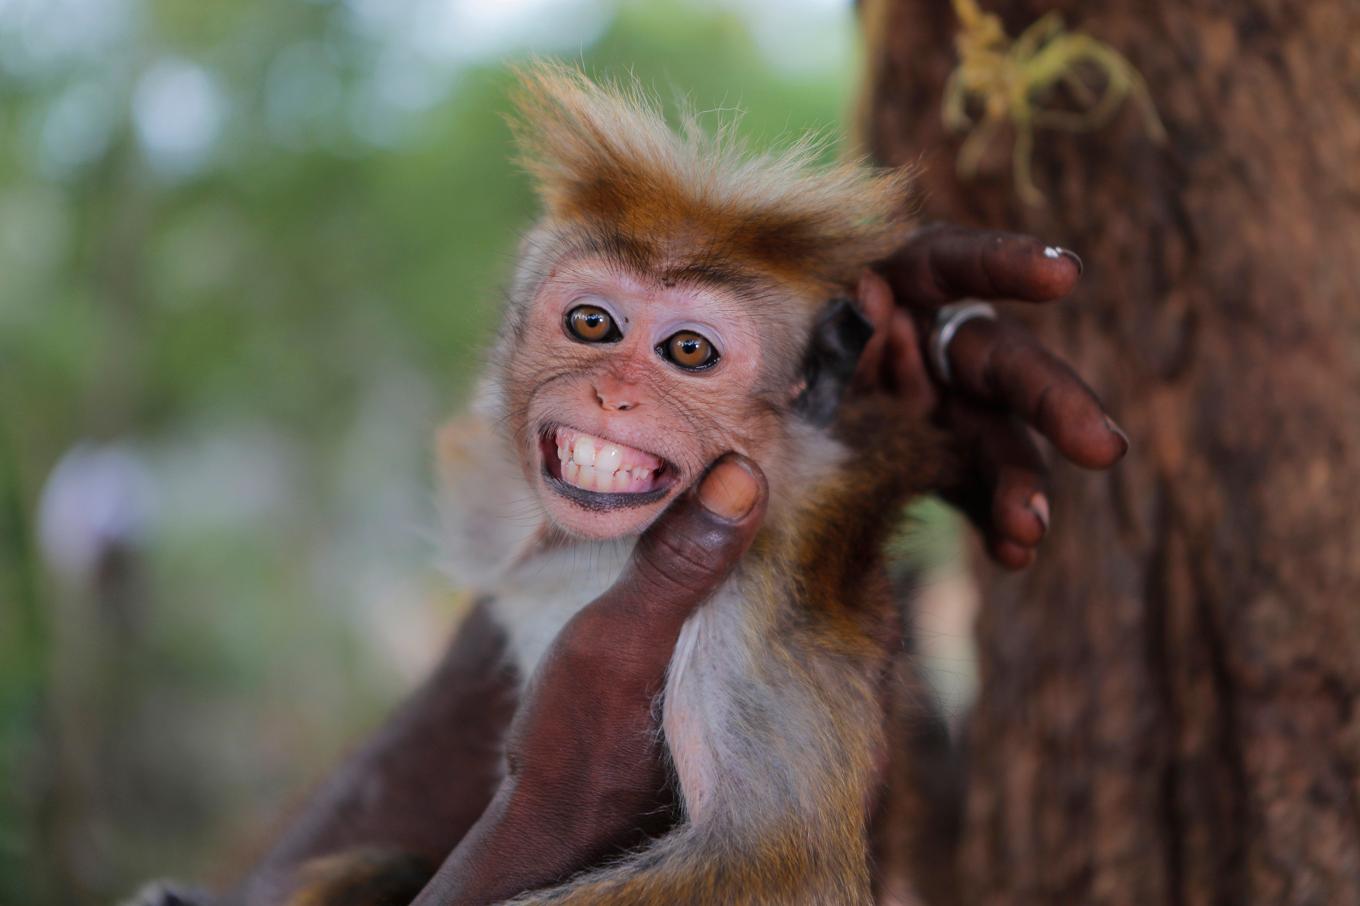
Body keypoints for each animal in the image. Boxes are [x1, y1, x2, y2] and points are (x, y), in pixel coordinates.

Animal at [300, 65, 946, 903]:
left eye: (689, 350)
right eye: (592, 324)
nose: (614, 395)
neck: (593, 557)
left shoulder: (753, 610)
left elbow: (776, 862)